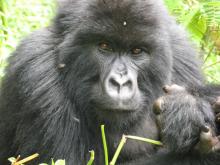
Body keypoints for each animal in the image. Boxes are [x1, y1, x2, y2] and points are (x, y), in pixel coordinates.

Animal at [0, 0, 220, 164]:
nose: (120, 83)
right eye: (104, 46)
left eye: (137, 51)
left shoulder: (183, 57)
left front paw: (194, 103)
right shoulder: (35, 73)